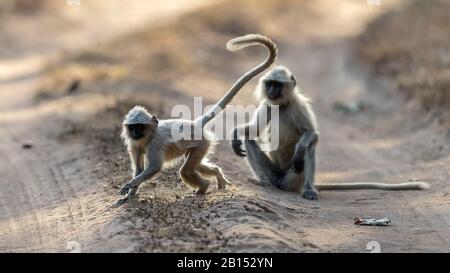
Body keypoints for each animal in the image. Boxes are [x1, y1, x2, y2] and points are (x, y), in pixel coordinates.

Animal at [116, 34, 278, 204]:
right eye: (132, 128)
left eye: (139, 127)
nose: (135, 133)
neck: (147, 137)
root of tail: (194, 124)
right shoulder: (134, 145)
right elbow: (139, 169)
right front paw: (129, 196)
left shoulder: (155, 142)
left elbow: (154, 167)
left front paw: (130, 185)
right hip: (199, 145)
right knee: (196, 166)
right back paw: (217, 176)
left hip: (203, 142)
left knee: (186, 170)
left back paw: (204, 187)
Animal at [230, 65, 430, 199]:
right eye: (269, 84)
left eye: (277, 85)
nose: (271, 91)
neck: (283, 105)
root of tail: (284, 183)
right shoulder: (268, 104)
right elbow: (253, 130)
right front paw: (235, 133)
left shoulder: (300, 106)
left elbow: (311, 134)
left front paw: (300, 148)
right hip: (276, 174)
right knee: (249, 139)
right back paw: (263, 181)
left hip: (294, 176)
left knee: (310, 145)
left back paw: (309, 189)